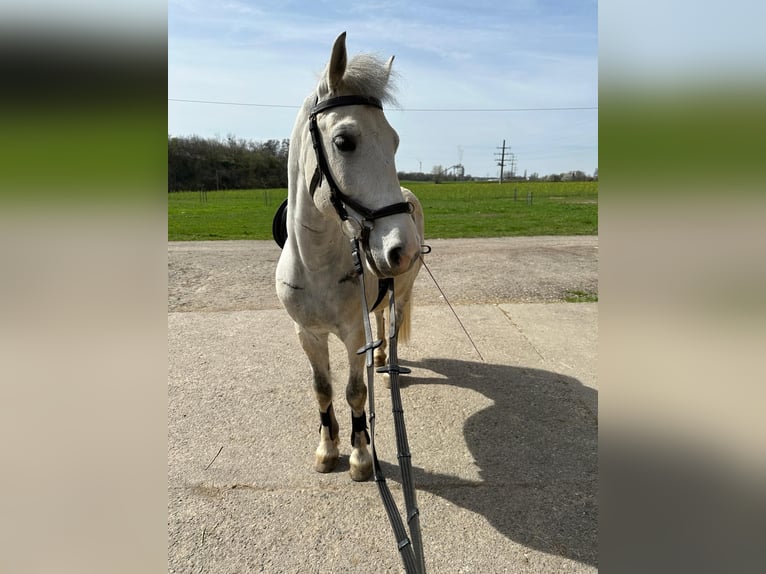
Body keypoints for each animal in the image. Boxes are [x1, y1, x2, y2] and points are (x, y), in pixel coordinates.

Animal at [275, 32, 424, 482]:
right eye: (344, 141)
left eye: (394, 141)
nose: (403, 248)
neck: (315, 265)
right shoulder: (308, 334)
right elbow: (322, 389)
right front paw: (328, 448)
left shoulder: (353, 334)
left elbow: (355, 392)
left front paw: (360, 455)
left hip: (402, 295)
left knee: (390, 327)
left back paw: (387, 364)